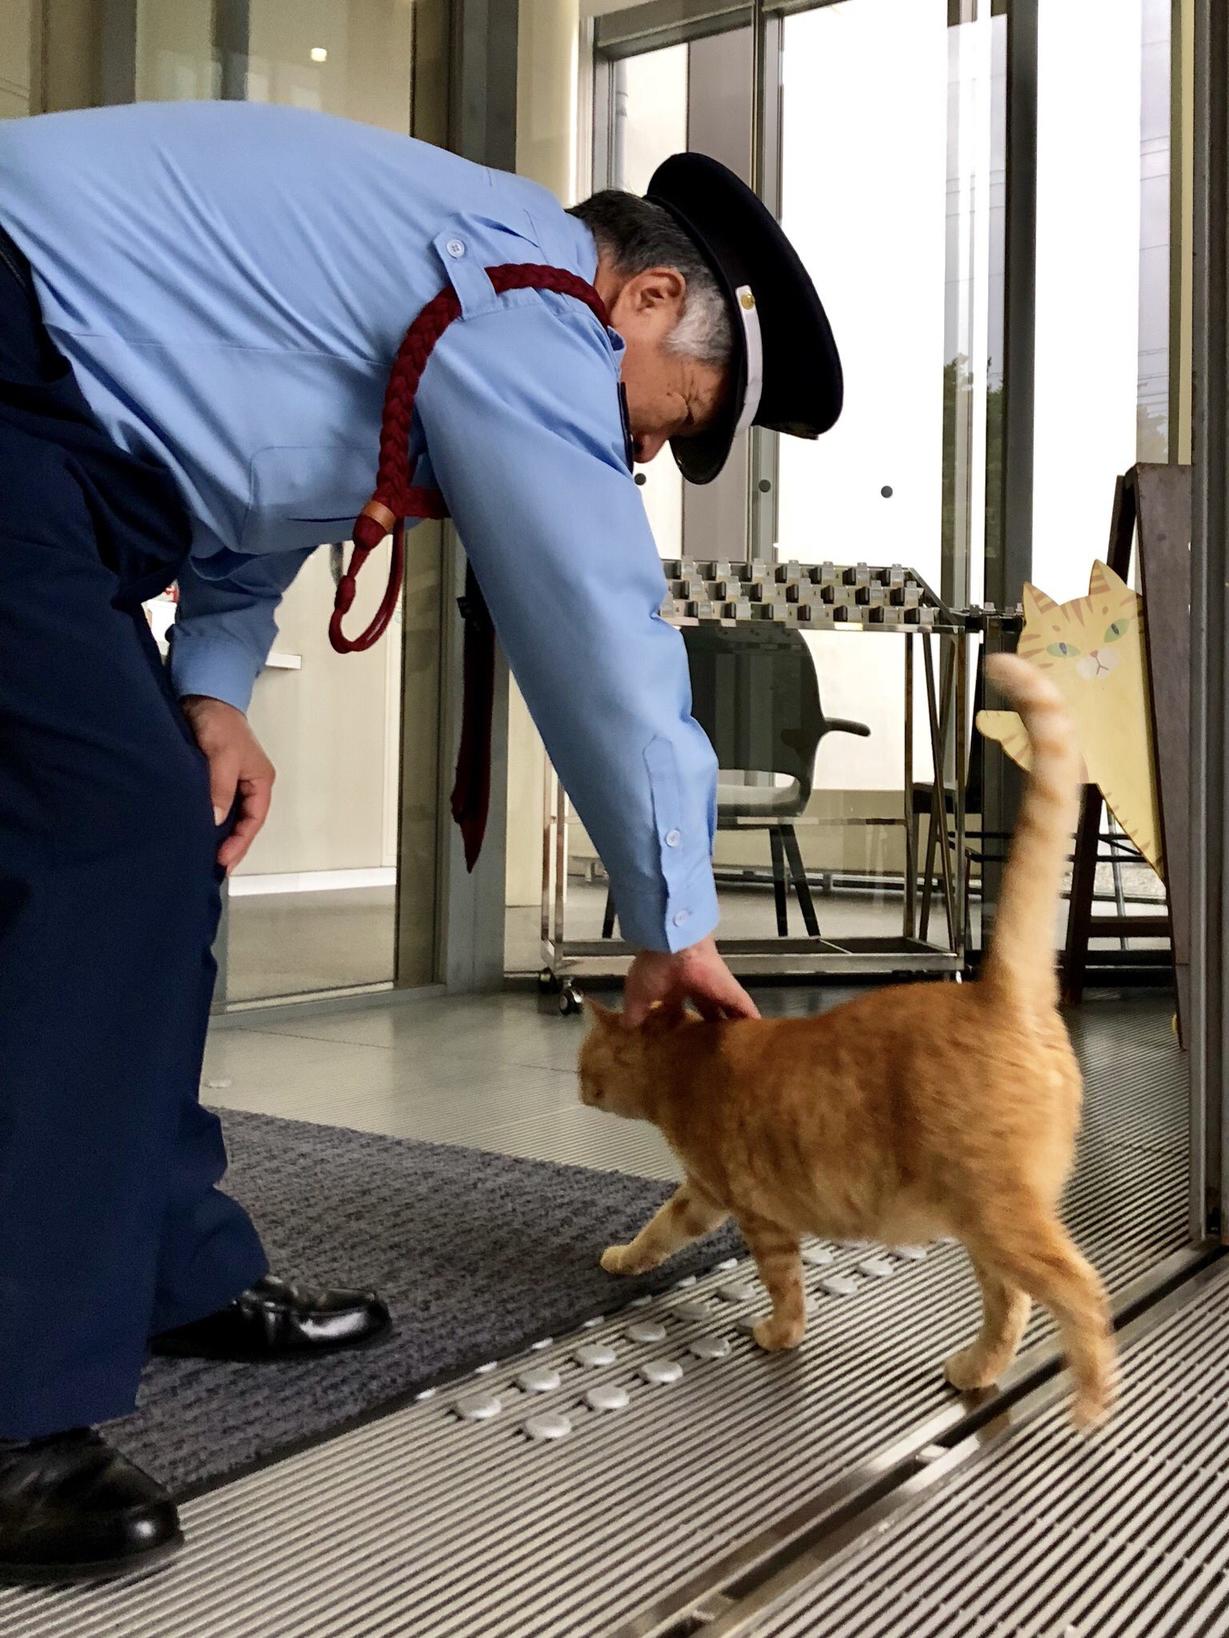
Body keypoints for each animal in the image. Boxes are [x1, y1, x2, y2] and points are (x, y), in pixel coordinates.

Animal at [583, 658, 1120, 1428]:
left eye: (584, 1062)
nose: (576, 1085)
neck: (687, 1060)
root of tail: (997, 990)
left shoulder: (756, 1214)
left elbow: (783, 1285)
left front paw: (778, 1334)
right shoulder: (701, 1196)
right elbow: (659, 1230)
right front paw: (627, 1258)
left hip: (1000, 1216)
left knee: (1078, 1290)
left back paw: (1091, 1393)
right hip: (983, 1226)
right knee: (1012, 1302)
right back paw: (976, 1369)